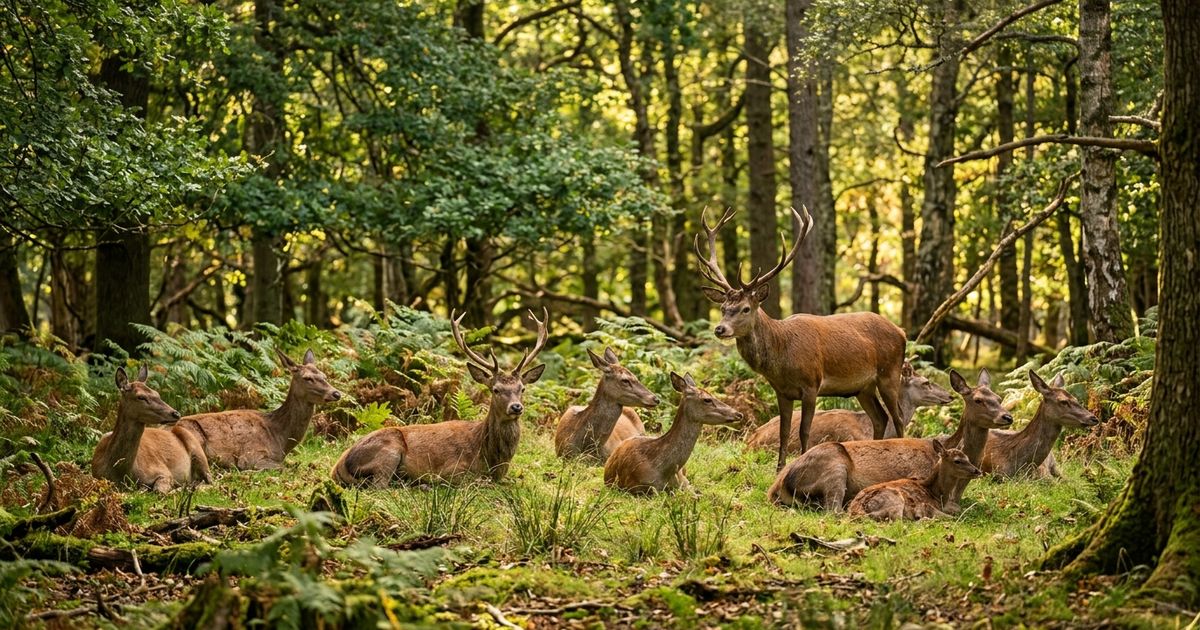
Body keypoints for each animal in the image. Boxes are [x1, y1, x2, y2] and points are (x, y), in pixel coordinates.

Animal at [177, 349, 342, 470]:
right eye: (307, 378)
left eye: (324, 376)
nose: (336, 393)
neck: (280, 438)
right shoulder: (252, 455)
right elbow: (283, 468)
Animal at [331, 309, 549, 486]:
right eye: (495, 389)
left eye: (522, 388)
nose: (516, 407)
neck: (492, 459)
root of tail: (338, 466)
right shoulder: (452, 470)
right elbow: (478, 481)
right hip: (389, 451)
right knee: (379, 486)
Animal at [694, 206, 908, 470]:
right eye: (723, 307)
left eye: (745, 308)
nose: (720, 329)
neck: (782, 357)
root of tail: (901, 332)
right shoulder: (782, 391)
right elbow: (784, 431)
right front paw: (779, 468)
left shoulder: (811, 384)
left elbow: (804, 430)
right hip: (863, 387)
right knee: (880, 418)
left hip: (890, 373)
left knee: (898, 416)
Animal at [767, 369, 1011, 512]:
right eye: (978, 400)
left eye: (998, 397)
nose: (1007, 417)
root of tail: (776, 487)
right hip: (834, 468)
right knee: (833, 509)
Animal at [847, 441, 982, 521]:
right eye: (957, 461)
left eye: (967, 458)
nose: (978, 471)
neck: (935, 494)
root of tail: (856, 510)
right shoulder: (931, 506)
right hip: (894, 500)